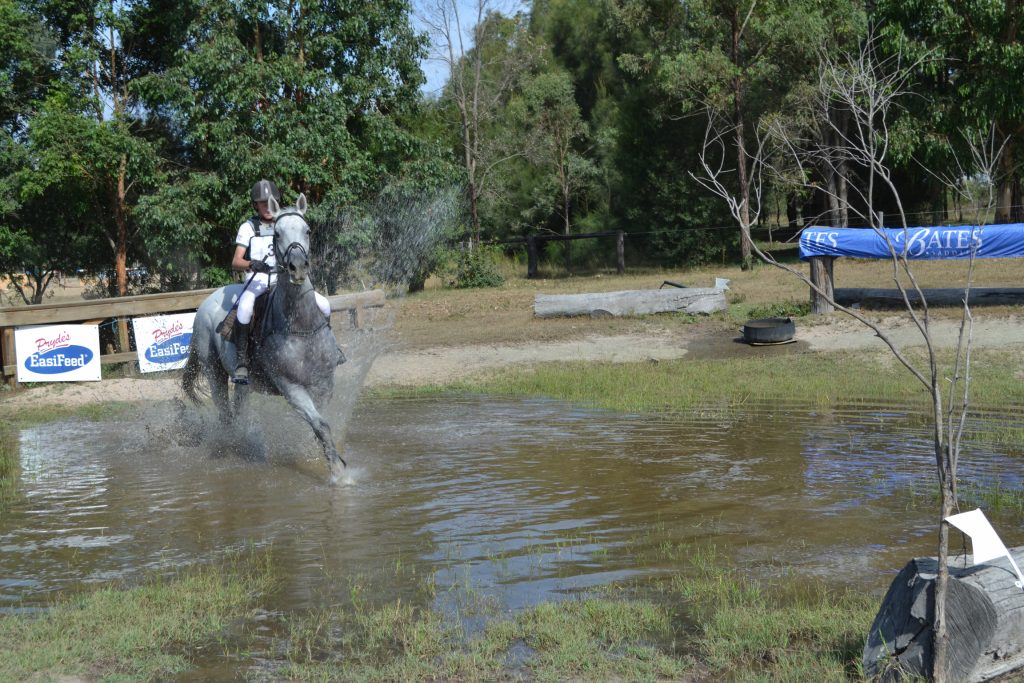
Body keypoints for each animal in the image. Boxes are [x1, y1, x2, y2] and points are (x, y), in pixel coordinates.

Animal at [181, 194, 348, 483]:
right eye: (277, 234)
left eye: (307, 230)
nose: (298, 268)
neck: (300, 327)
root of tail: (207, 301)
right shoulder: (290, 387)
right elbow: (321, 425)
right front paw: (339, 474)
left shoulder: (324, 384)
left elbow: (320, 425)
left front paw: (325, 459)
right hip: (214, 371)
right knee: (226, 414)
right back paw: (235, 448)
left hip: (243, 384)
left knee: (239, 411)